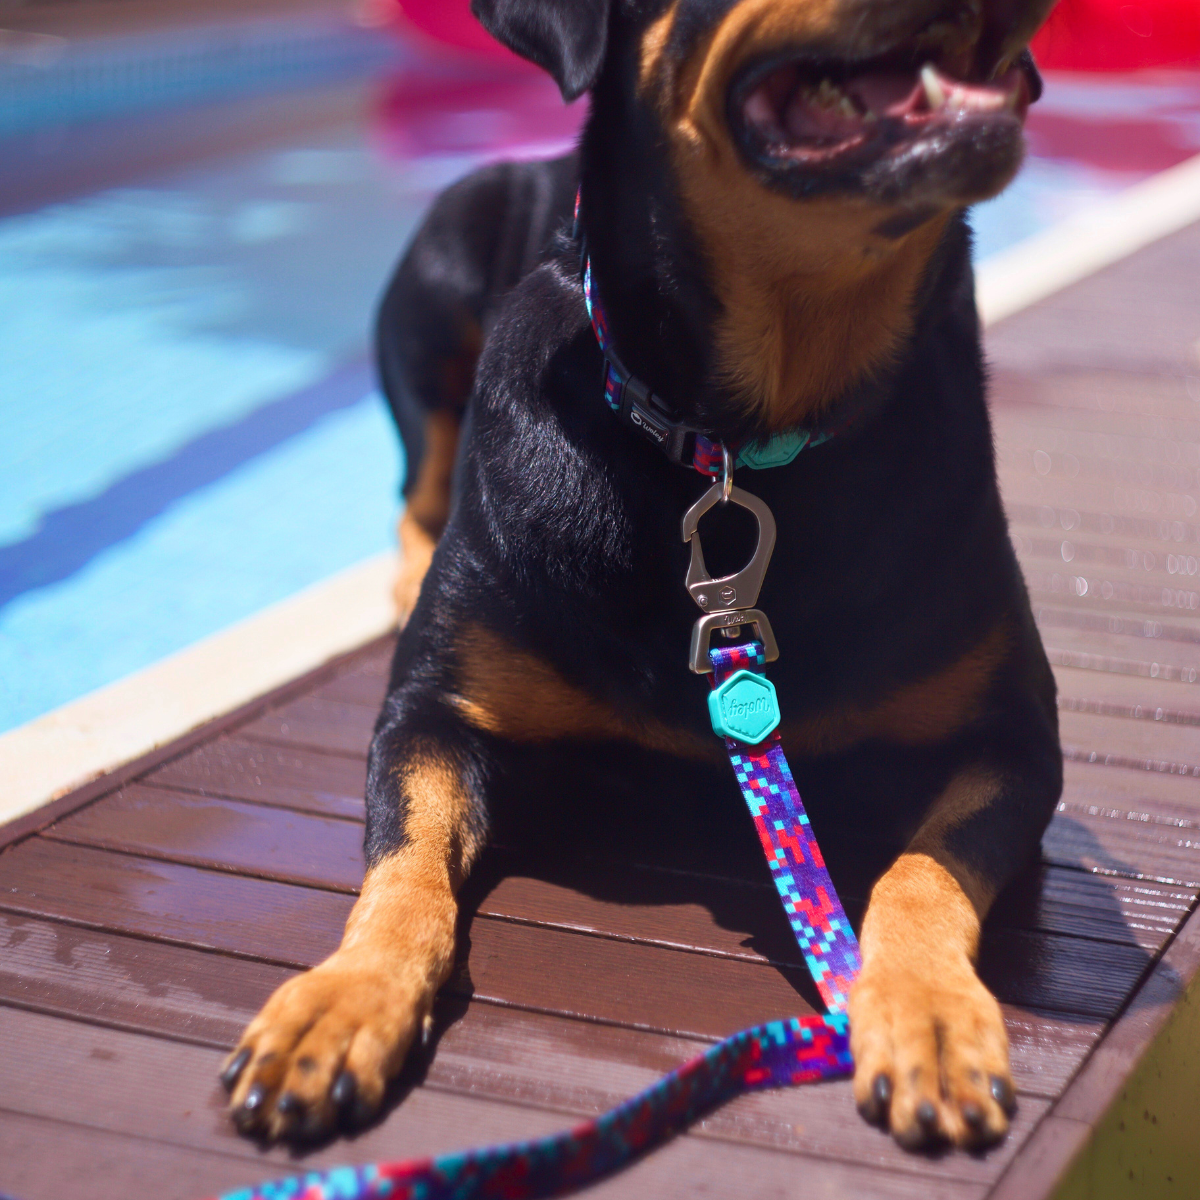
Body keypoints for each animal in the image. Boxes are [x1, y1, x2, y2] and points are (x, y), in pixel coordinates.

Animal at [218, 0, 1060, 1152]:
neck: (739, 436)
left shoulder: (1014, 736)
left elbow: (923, 870)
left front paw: (927, 1015)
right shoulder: (430, 712)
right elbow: (405, 866)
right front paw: (342, 1001)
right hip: (439, 273)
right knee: (417, 473)